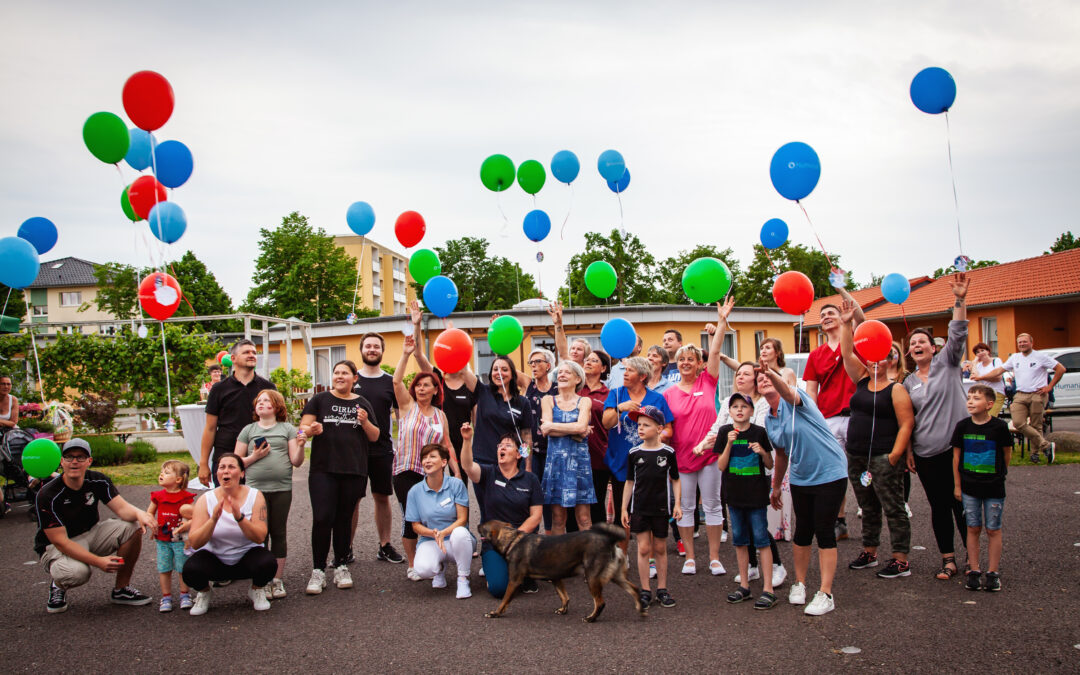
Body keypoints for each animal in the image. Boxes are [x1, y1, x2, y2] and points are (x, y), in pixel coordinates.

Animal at [477, 520, 643, 622]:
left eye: (483, 526)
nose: (477, 524)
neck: (512, 540)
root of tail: (610, 540)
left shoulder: (514, 580)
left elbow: (504, 601)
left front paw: (495, 613)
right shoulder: (556, 577)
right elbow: (565, 597)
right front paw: (563, 610)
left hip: (592, 578)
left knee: (600, 602)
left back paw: (591, 618)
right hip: (615, 575)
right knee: (634, 589)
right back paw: (642, 608)